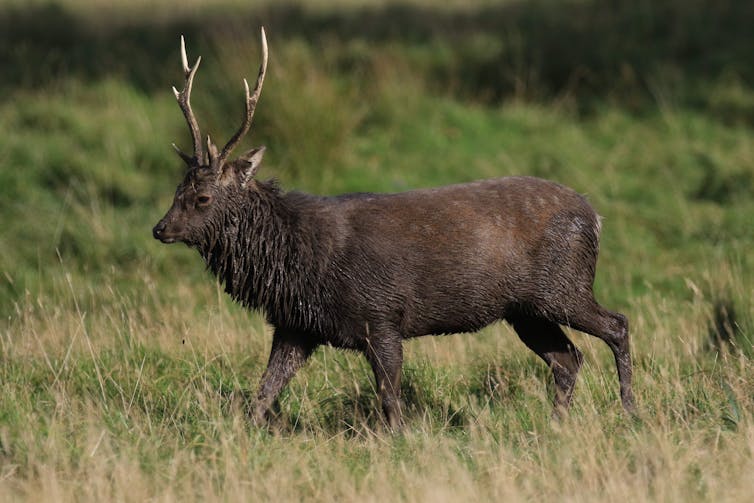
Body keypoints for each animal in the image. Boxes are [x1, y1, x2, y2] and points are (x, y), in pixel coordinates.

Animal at [153, 27, 636, 430]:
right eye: (177, 189)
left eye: (203, 198)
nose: (160, 229)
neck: (297, 261)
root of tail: (595, 216)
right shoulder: (296, 325)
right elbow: (264, 392)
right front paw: (242, 436)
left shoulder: (381, 315)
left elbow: (390, 399)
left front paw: (401, 441)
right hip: (525, 310)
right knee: (567, 358)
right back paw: (555, 425)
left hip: (562, 286)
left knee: (617, 324)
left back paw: (630, 412)